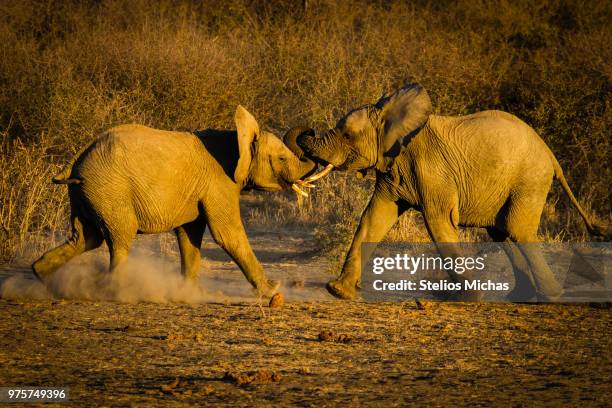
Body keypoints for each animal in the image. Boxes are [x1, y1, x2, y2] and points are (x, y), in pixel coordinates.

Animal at [31, 105, 328, 296]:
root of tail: (75, 161)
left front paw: (191, 293)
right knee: (119, 239)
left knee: (85, 238)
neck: (235, 136)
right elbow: (227, 234)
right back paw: (119, 291)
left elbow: (190, 236)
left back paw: (41, 277)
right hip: (109, 191)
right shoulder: (219, 183)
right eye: (281, 158)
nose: (311, 131)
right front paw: (273, 291)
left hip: (88, 193)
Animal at [298, 83, 608, 302]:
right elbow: (373, 219)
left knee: (517, 230)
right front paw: (338, 292)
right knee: (502, 232)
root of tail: (550, 154)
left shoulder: (431, 169)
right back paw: (521, 296)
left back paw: (550, 297)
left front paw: (470, 298)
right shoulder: (391, 167)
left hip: (529, 179)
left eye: (347, 135)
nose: (306, 131)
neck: (391, 116)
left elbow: (439, 223)